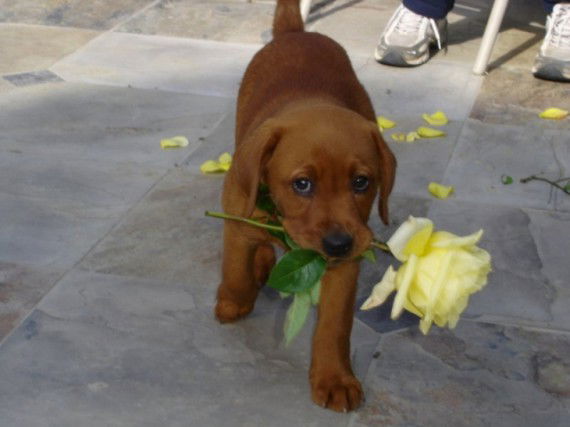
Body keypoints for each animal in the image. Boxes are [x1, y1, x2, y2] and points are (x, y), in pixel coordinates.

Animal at [211, 0, 392, 414]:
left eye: (362, 182)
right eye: (302, 184)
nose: (339, 244)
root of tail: (296, 33)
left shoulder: (345, 264)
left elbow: (334, 325)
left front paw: (335, 379)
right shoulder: (238, 218)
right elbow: (235, 268)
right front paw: (233, 300)